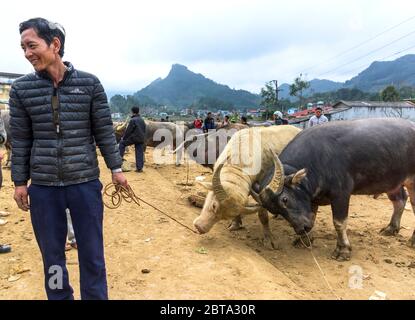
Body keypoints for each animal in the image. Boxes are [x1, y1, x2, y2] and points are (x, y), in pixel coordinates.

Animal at [252, 119, 415, 262]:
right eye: (274, 211)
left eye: (285, 199)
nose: (302, 228)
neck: (317, 160)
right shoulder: (311, 199)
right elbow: (312, 216)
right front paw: (304, 240)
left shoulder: (341, 194)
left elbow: (339, 222)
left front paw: (343, 250)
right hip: (393, 182)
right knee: (400, 200)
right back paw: (391, 228)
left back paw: (412, 240)